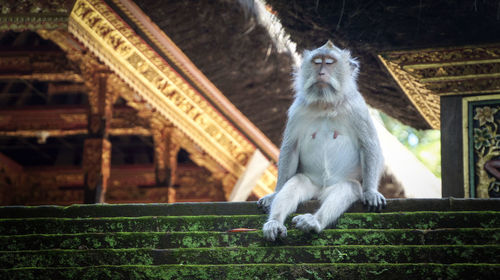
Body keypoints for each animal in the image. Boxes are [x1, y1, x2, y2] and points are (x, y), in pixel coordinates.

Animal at [258, 41, 386, 241]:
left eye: (330, 62)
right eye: (317, 62)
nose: (321, 73)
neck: (325, 103)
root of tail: (320, 191)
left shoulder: (357, 108)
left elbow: (369, 145)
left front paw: (371, 192)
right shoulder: (297, 110)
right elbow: (290, 149)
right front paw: (275, 193)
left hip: (334, 187)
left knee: (348, 188)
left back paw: (314, 222)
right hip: (311, 183)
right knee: (296, 182)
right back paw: (275, 222)